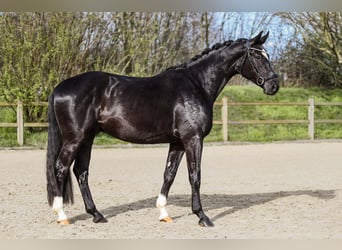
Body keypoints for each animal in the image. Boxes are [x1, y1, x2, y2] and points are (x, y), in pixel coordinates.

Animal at [46, 30, 280, 227]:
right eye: (257, 56)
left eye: (266, 54)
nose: (274, 86)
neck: (196, 84)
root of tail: (59, 88)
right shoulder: (193, 139)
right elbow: (195, 175)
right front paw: (202, 216)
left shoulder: (177, 142)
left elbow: (169, 174)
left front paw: (164, 213)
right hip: (75, 139)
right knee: (60, 168)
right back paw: (62, 215)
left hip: (87, 138)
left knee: (81, 172)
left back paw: (96, 214)